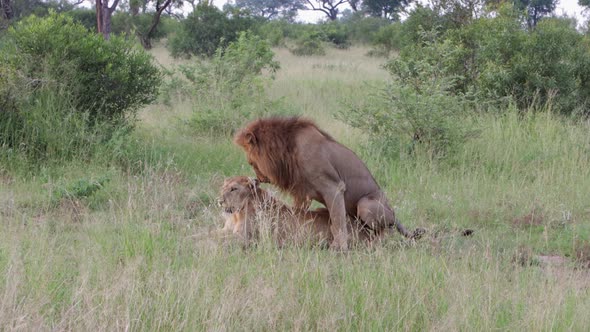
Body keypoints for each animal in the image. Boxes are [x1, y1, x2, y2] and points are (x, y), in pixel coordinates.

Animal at [220, 176, 372, 246]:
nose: (219, 201)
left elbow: (219, 239)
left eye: (234, 189)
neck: (236, 215)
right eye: (223, 187)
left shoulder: (244, 238)